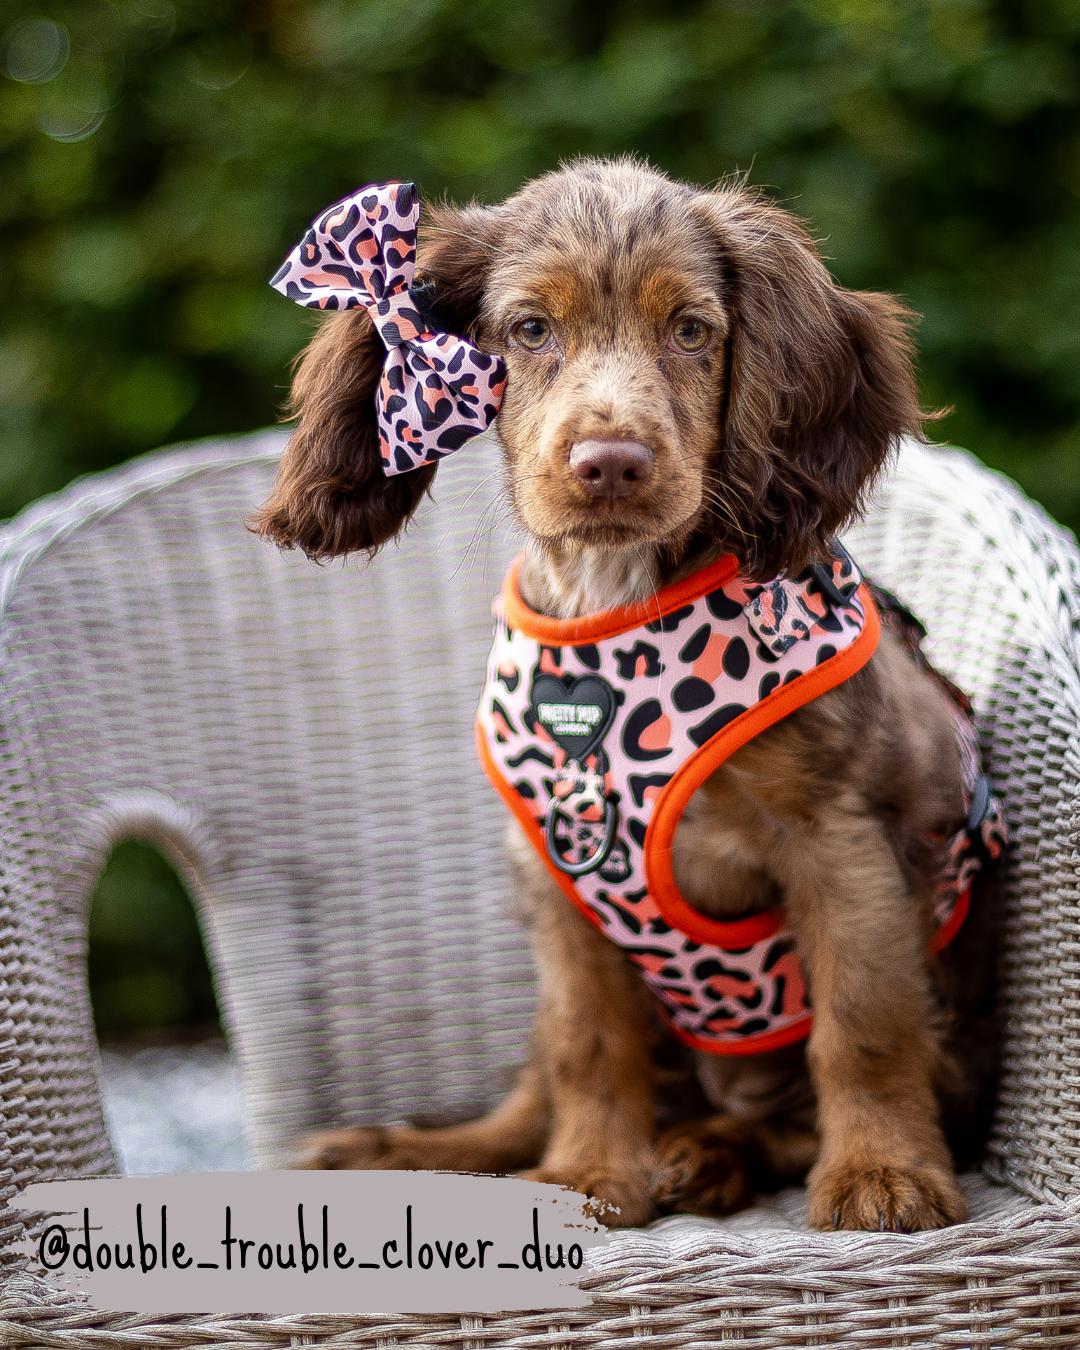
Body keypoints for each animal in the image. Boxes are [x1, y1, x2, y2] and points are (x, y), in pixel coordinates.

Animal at [253, 157, 993, 1236]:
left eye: (689, 330)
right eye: (529, 330)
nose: (610, 465)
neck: (613, 605)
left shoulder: (844, 844)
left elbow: (863, 1026)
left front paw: (882, 1174)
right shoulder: (559, 878)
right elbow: (586, 1046)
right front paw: (587, 1175)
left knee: (779, 1121)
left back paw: (704, 1157)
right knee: (527, 1098)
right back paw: (398, 1152)